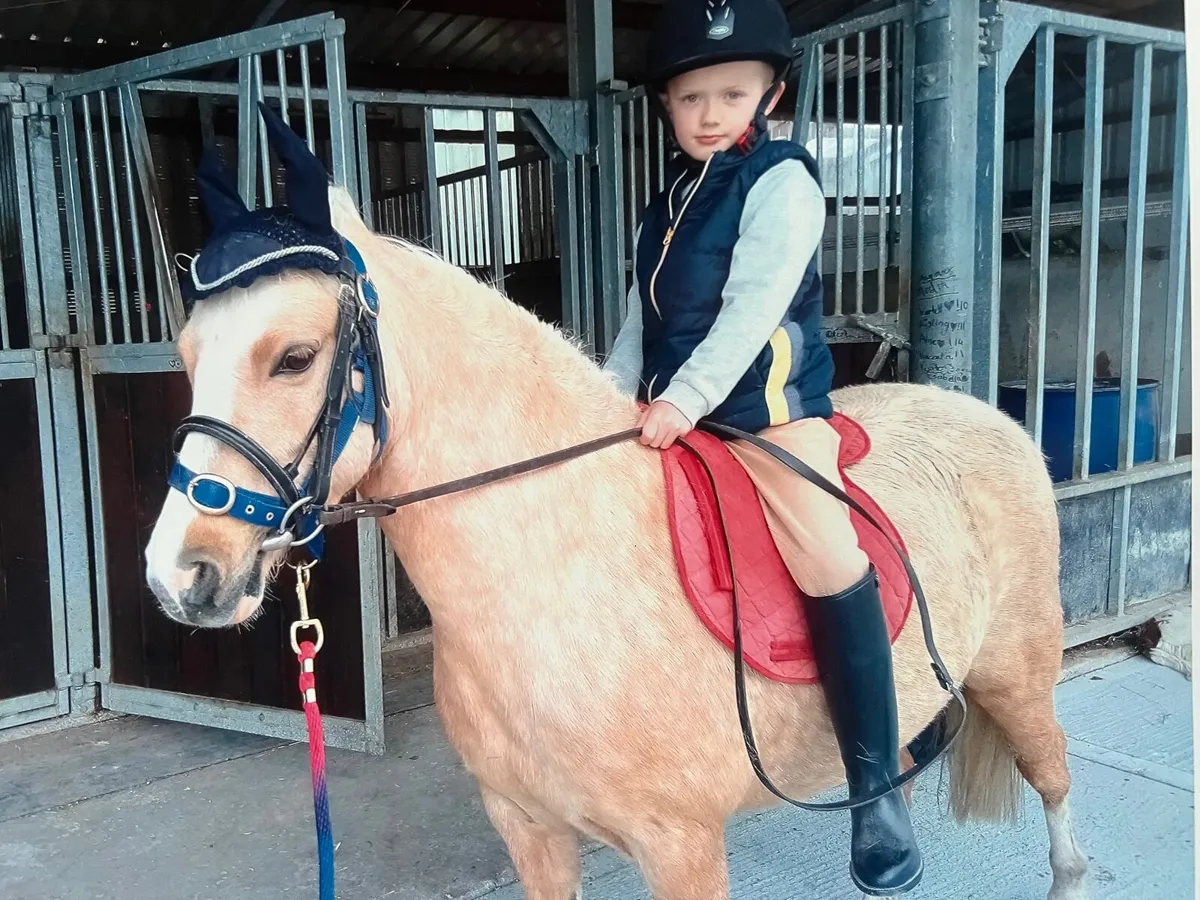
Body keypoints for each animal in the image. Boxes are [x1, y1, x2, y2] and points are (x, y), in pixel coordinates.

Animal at [144, 180, 1090, 900]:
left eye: (295, 358)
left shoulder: (683, 848)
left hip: (1020, 676)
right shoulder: (531, 831)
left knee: (1057, 797)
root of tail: (989, 415)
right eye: (187, 354)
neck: (564, 576)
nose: (176, 576)